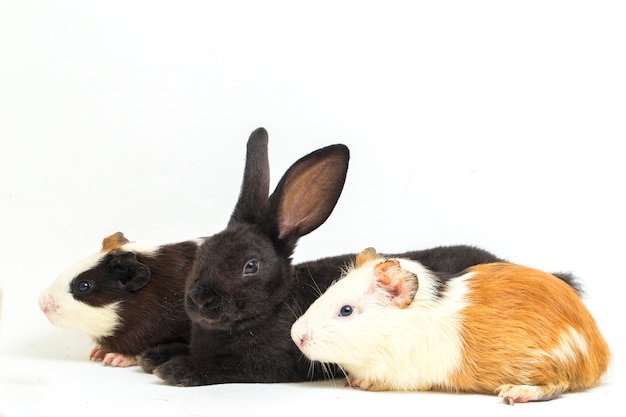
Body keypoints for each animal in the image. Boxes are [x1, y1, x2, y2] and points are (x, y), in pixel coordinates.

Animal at [139, 128, 516, 386]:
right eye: (203, 251)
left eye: (251, 266)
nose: (199, 301)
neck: (274, 306)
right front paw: (153, 356)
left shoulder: (271, 363)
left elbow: (228, 367)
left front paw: (177, 368)